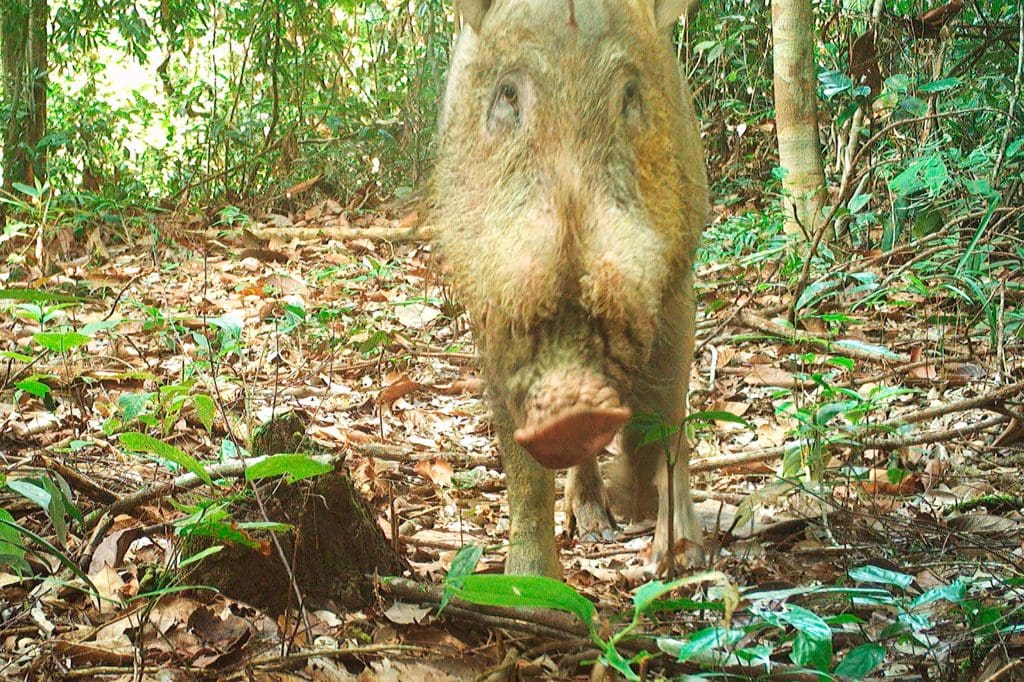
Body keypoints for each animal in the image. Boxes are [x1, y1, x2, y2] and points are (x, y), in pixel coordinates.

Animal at [430, 0, 708, 577]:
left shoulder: (680, 271)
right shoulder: (486, 301)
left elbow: (670, 409)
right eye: (508, 93)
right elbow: (521, 466)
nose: (574, 408)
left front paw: (675, 557)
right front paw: (530, 589)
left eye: (629, 94)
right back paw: (595, 527)